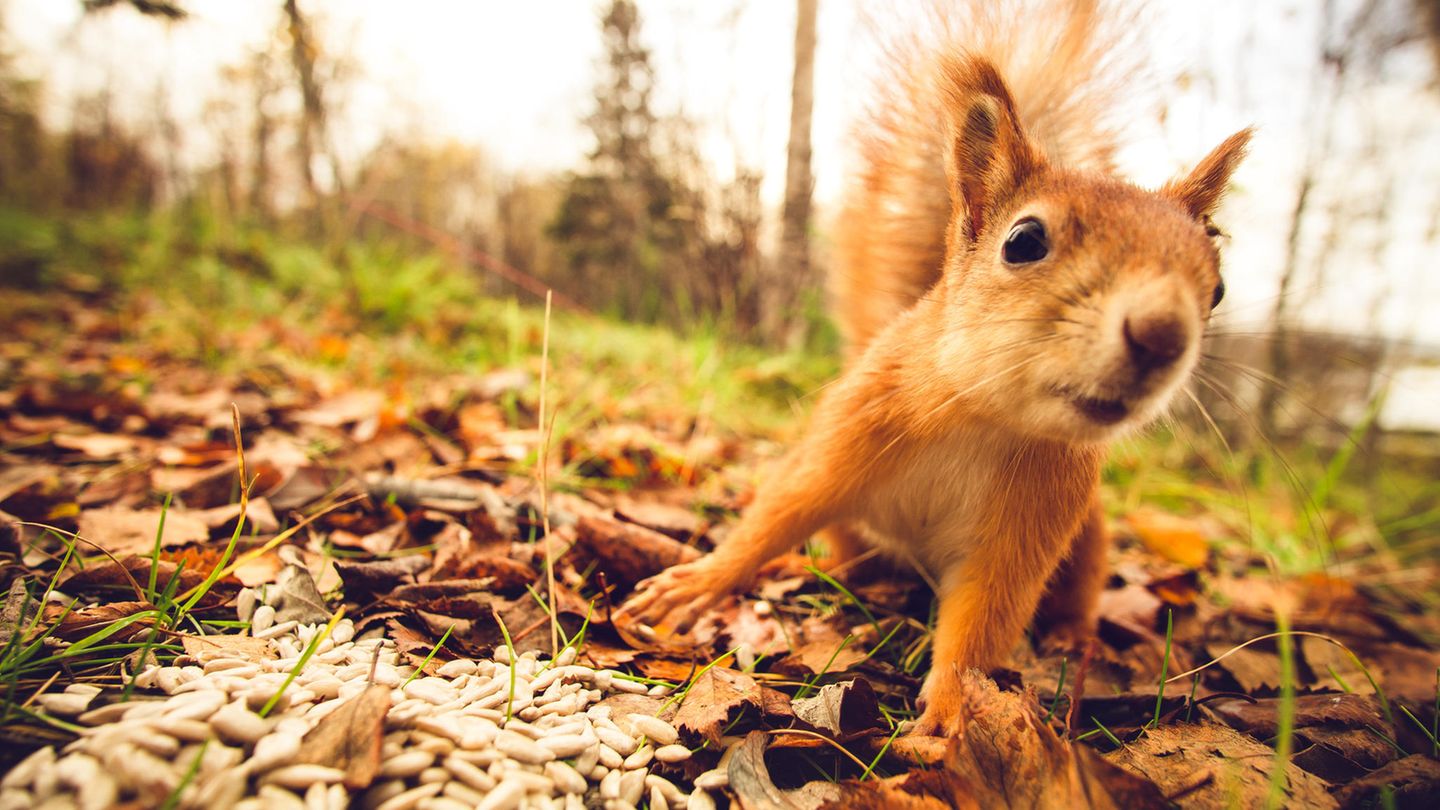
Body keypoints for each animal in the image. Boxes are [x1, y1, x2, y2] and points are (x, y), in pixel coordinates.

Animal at [619, 0, 1249, 732]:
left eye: (1218, 289)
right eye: (1024, 240)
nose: (1162, 335)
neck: (984, 419)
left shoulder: (1032, 518)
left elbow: (983, 617)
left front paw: (953, 711)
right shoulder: (852, 431)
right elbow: (778, 513)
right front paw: (698, 582)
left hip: (1089, 532)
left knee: (1080, 587)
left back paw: (1072, 634)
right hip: (855, 525)